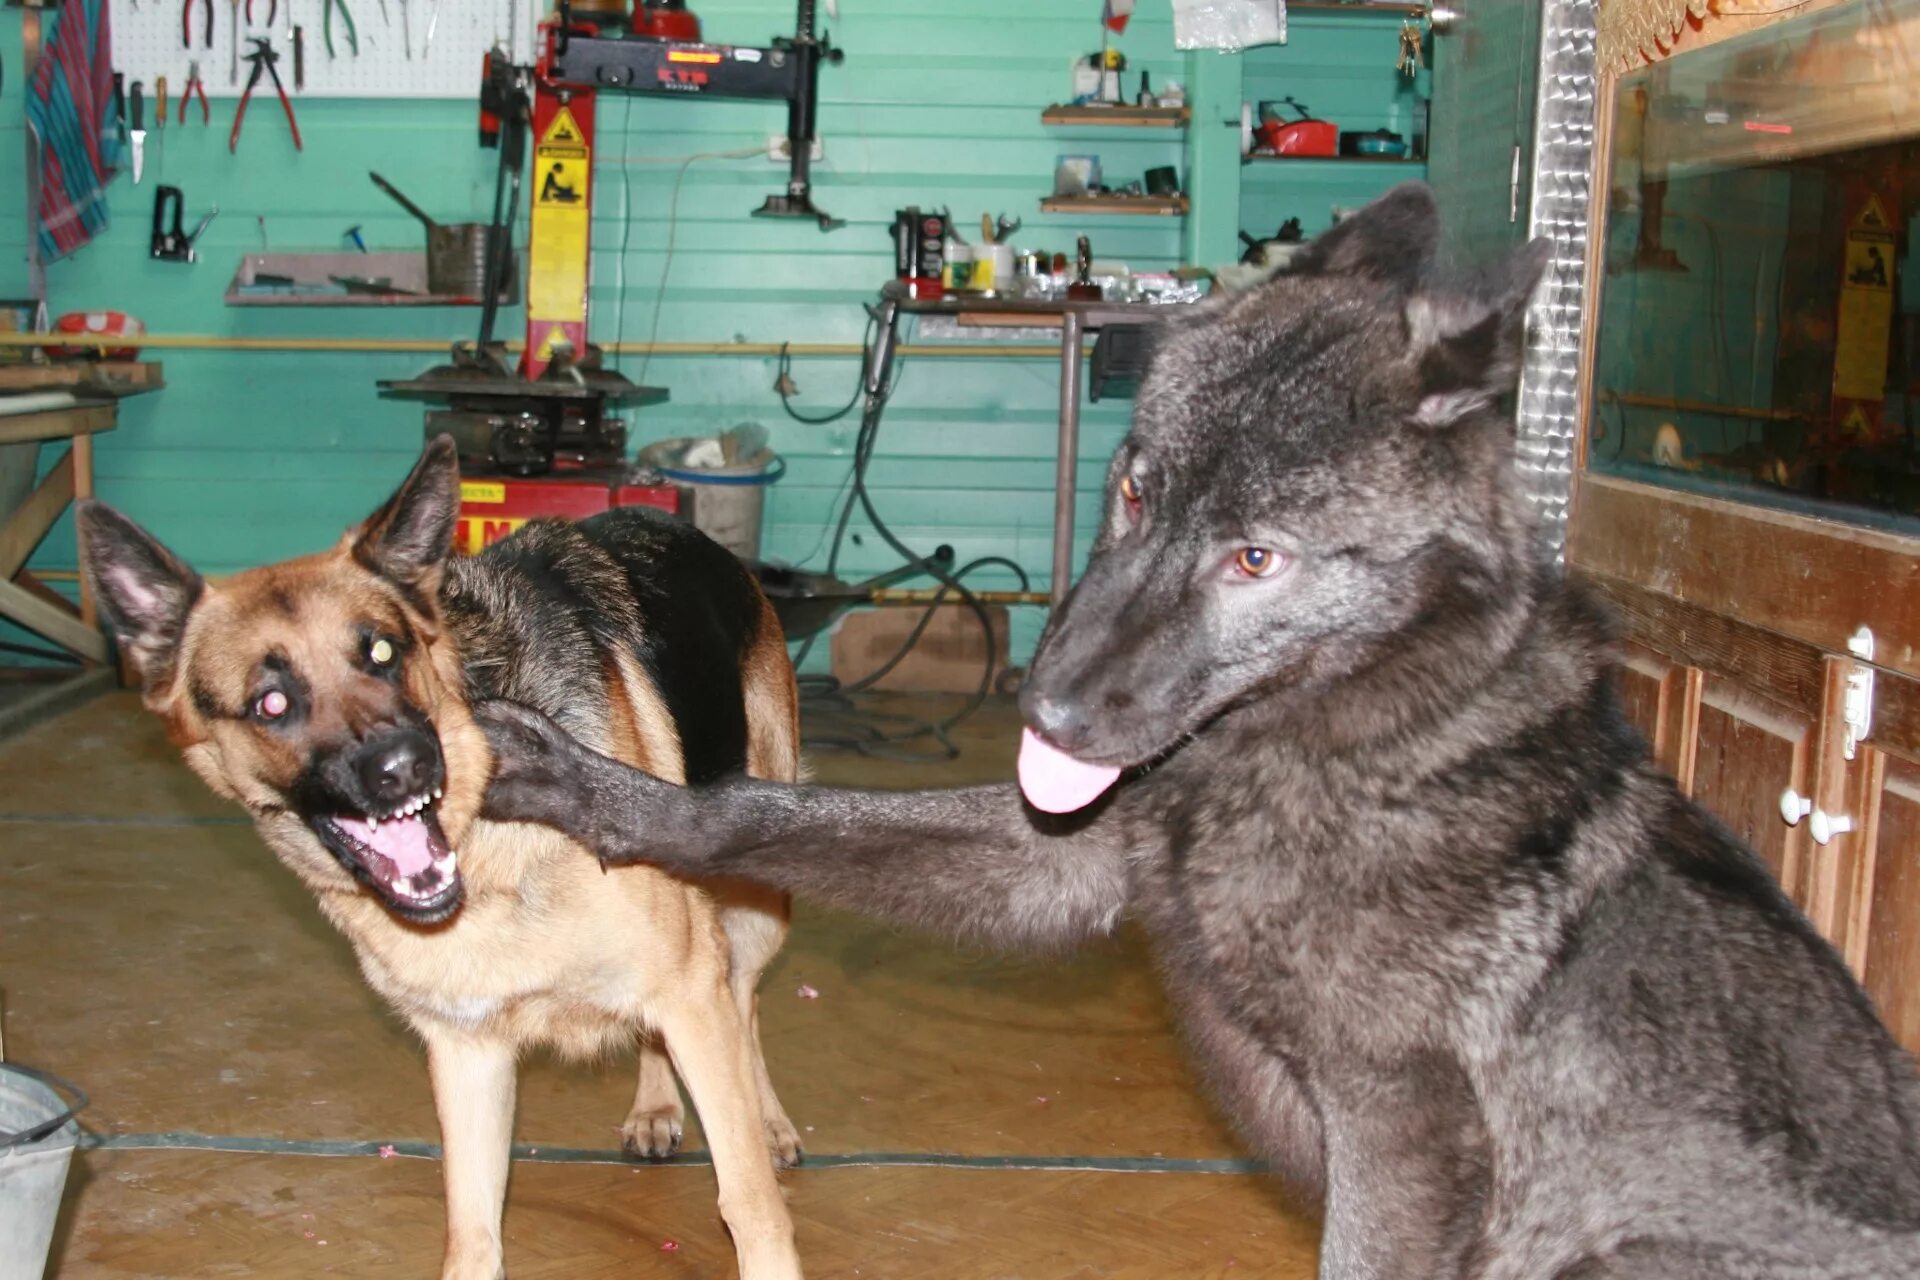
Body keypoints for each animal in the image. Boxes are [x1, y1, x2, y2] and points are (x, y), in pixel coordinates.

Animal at [74, 435, 806, 1274]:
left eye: (382, 652)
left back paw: (769, 1119)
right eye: (271, 703)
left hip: (752, 907)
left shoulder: (691, 989)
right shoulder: (468, 1052)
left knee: (744, 1003)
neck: (488, 843)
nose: (406, 766)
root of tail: (691, 533)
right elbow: (473, 1233)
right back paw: (656, 1102)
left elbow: (749, 1204)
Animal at [472, 189, 1920, 1280]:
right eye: (1133, 489)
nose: (1045, 712)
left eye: (1256, 559)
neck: (1344, 749)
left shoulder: (1404, 1150)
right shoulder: (1059, 860)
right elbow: (758, 811)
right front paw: (603, 792)